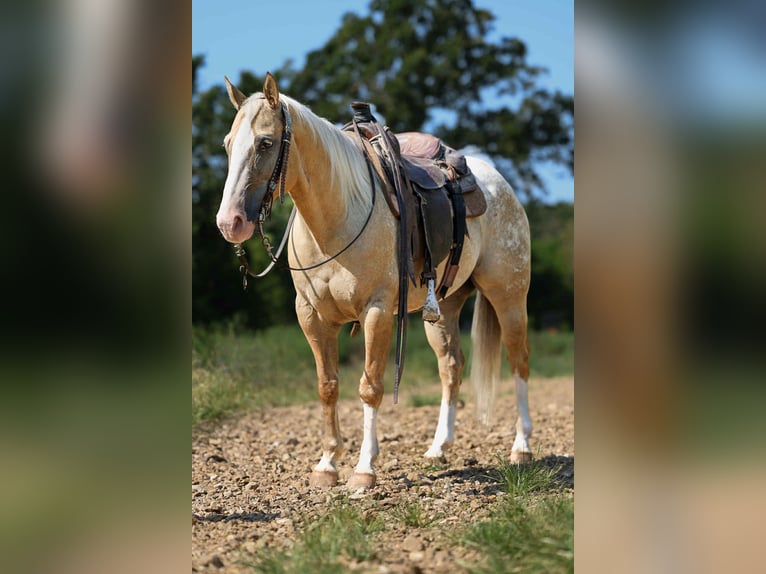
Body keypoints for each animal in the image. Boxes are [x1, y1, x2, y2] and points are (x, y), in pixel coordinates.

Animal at [216, 73, 532, 489]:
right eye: (227, 144)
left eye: (265, 142)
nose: (229, 223)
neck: (337, 218)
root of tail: (498, 181)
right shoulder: (311, 316)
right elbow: (328, 386)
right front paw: (327, 464)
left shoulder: (377, 312)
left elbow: (370, 387)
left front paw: (364, 469)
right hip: (443, 308)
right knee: (451, 367)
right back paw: (438, 448)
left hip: (508, 296)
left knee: (519, 361)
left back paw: (521, 448)